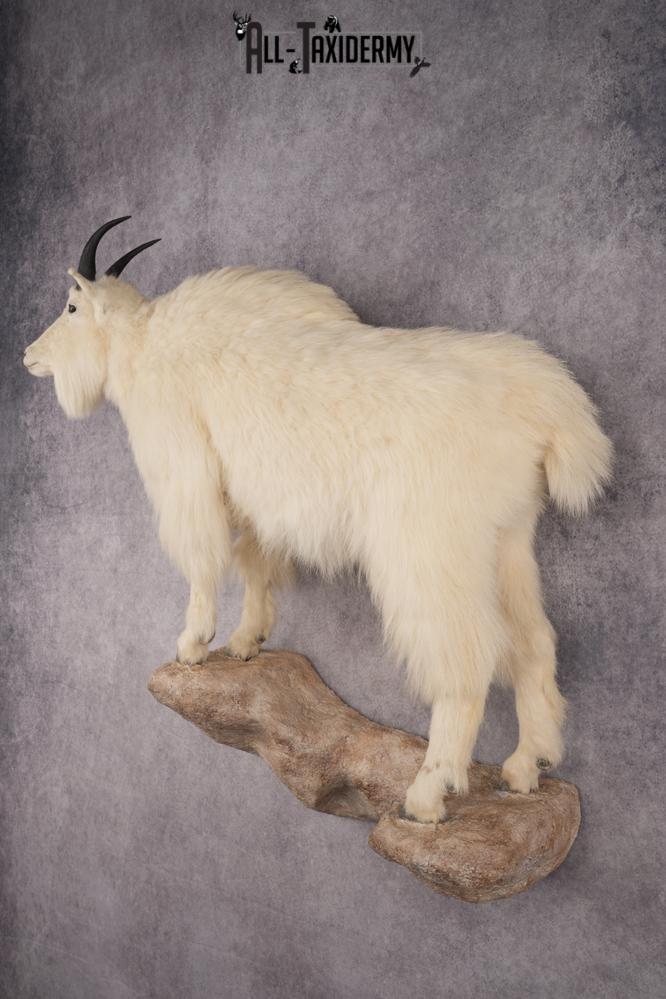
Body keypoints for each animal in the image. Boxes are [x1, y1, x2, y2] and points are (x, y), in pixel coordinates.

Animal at [24, 217, 613, 823]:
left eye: (71, 306)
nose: (28, 355)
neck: (142, 344)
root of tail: (546, 405)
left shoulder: (185, 469)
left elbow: (203, 559)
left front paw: (193, 645)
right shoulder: (254, 498)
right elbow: (254, 560)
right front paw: (246, 642)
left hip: (430, 547)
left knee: (464, 662)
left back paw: (429, 794)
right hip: (509, 537)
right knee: (534, 642)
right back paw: (526, 768)